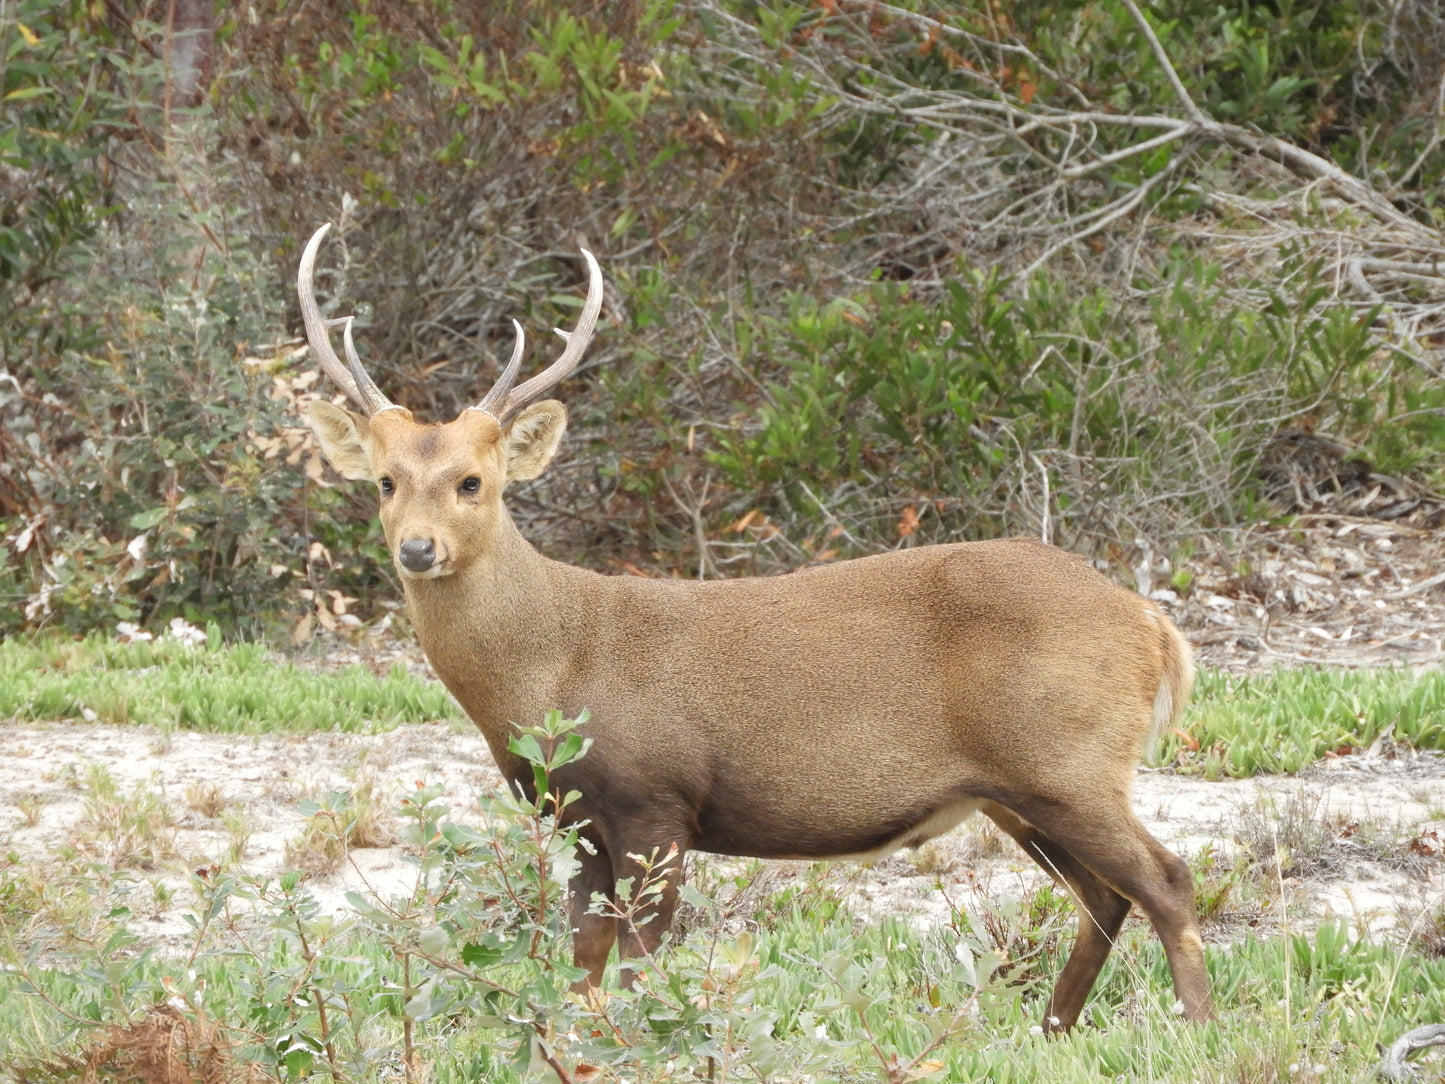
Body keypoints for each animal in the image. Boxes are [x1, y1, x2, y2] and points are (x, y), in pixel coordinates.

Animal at [295, 222, 1214, 1032]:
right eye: (384, 481)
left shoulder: (658, 799)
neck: (553, 669)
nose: (418, 548)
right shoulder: (579, 821)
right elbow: (581, 962)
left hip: (1065, 757)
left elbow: (632, 967)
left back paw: (1193, 1029)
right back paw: (1055, 1028)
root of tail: (1149, 621)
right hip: (1019, 787)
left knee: (1165, 878)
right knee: (1106, 894)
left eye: (472, 482)